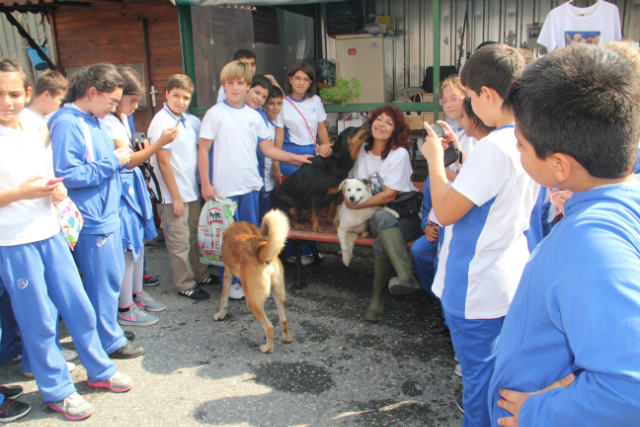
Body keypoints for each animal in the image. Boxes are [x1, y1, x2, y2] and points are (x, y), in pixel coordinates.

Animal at [215, 211, 296, 354]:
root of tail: (261, 253)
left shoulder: (227, 274)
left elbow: (224, 300)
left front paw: (220, 315)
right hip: (278, 294)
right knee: (283, 320)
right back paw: (287, 339)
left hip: (255, 301)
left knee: (269, 327)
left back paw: (267, 348)